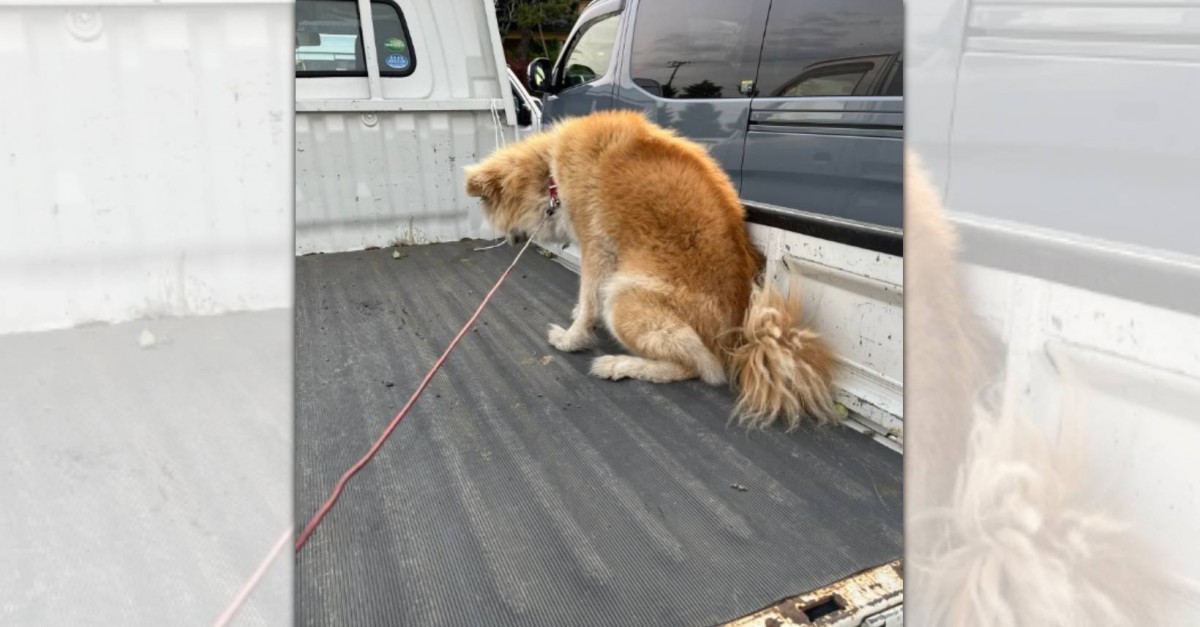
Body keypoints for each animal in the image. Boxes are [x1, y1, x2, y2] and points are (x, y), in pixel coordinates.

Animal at [463, 109, 840, 427]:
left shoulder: (596, 249)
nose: (508, 241)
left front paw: (571, 339)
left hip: (623, 298)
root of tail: (738, 342)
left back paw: (618, 365)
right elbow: (586, 302)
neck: (550, 174)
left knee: (700, 368)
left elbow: (588, 303)